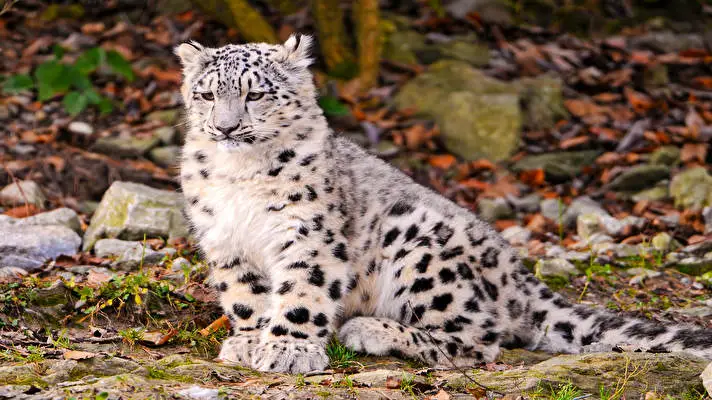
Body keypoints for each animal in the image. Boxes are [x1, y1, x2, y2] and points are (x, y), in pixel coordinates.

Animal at [175, 34, 712, 374]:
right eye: (206, 95)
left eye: (255, 95)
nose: (225, 127)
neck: (240, 176)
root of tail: (518, 274)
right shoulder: (224, 239)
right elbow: (245, 295)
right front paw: (250, 340)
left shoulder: (309, 235)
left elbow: (303, 293)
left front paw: (288, 350)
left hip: (419, 247)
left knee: (481, 338)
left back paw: (370, 331)